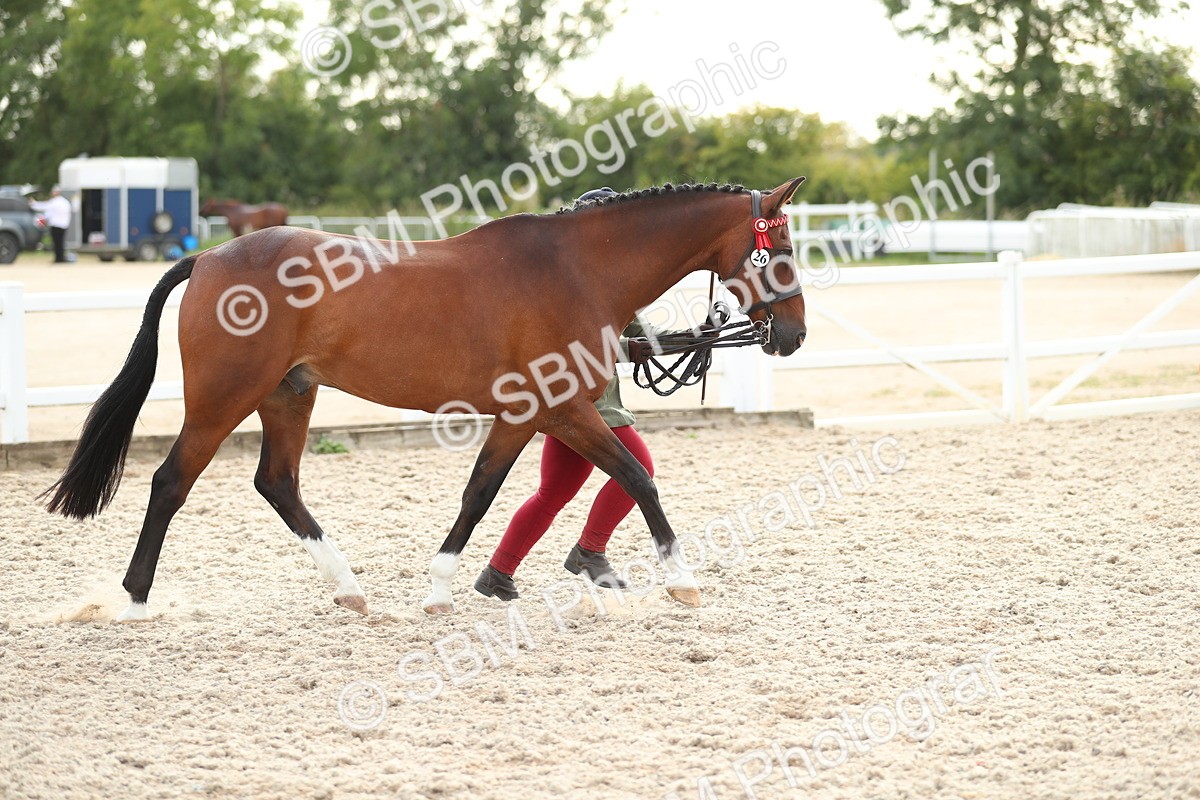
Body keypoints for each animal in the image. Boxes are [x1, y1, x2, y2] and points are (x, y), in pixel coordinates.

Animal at [43, 178, 808, 622]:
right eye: (783, 248)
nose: (794, 335)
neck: (576, 268)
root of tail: (208, 256)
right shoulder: (563, 408)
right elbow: (637, 478)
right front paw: (682, 580)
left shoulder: (524, 414)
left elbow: (480, 492)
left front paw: (441, 589)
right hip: (222, 399)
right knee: (172, 482)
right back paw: (134, 601)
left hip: (289, 395)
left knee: (277, 483)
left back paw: (349, 589)